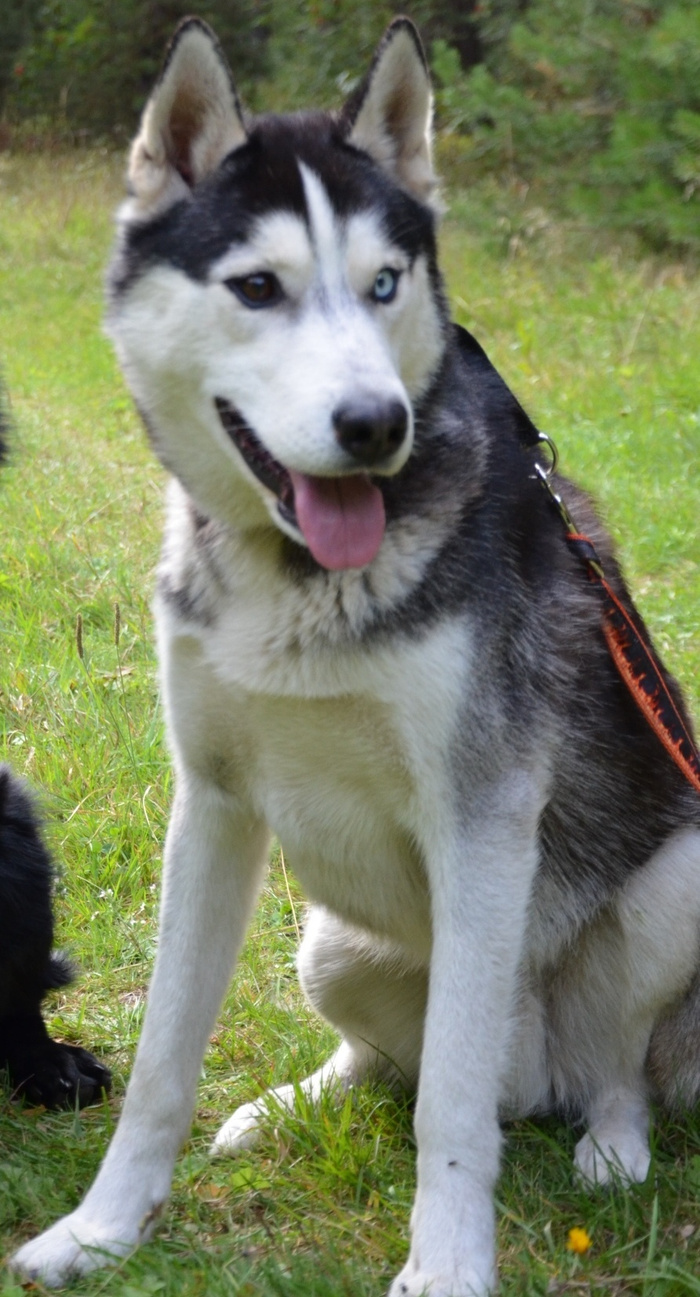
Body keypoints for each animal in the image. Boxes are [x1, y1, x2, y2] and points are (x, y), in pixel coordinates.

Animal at [12, 17, 700, 1294]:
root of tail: (540, 1079)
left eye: (384, 283)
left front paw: (447, 1266)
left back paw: (610, 1144)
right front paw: (101, 1228)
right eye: (257, 288)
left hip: (676, 884)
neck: (297, 582)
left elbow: (451, 1113)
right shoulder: (212, 805)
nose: (377, 425)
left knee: (596, 1068)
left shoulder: (483, 818)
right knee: (388, 1060)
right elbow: (163, 1061)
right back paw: (294, 1102)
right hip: (327, 942)